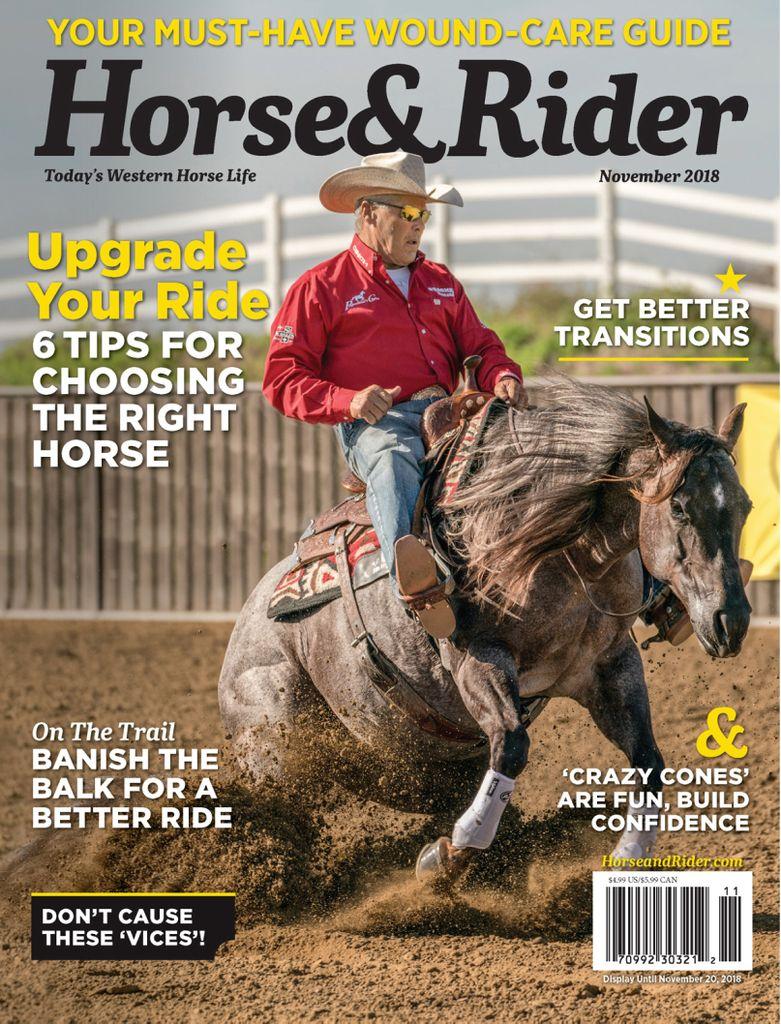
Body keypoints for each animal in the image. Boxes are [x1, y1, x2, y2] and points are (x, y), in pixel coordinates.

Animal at [218, 376, 752, 880]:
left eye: (745, 506)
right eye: (679, 507)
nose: (732, 620)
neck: (558, 550)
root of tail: (246, 626)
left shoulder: (608, 665)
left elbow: (649, 760)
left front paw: (628, 854)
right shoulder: (477, 659)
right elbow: (512, 746)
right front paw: (449, 854)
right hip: (278, 750)